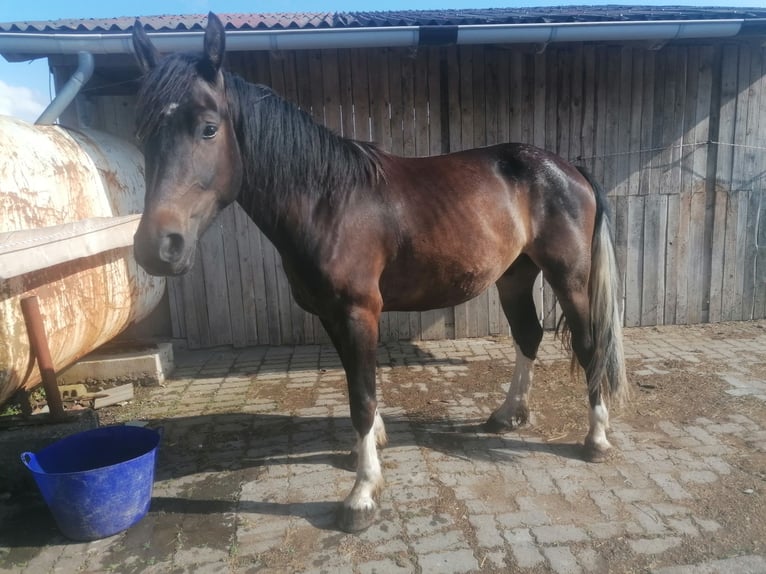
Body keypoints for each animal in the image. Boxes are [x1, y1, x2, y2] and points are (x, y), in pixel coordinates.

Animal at [132, 13, 632, 536]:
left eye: (208, 129)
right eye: (141, 133)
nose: (158, 247)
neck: (327, 200)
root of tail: (567, 168)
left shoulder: (358, 313)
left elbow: (362, 398)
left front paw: (362, 495)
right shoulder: (332, 316)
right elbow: (358, 386)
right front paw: (367, 452)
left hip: (568, 276)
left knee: (589, 345)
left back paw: (596, 438)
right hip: (515, 276)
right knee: (528, 335)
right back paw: (508, 413)